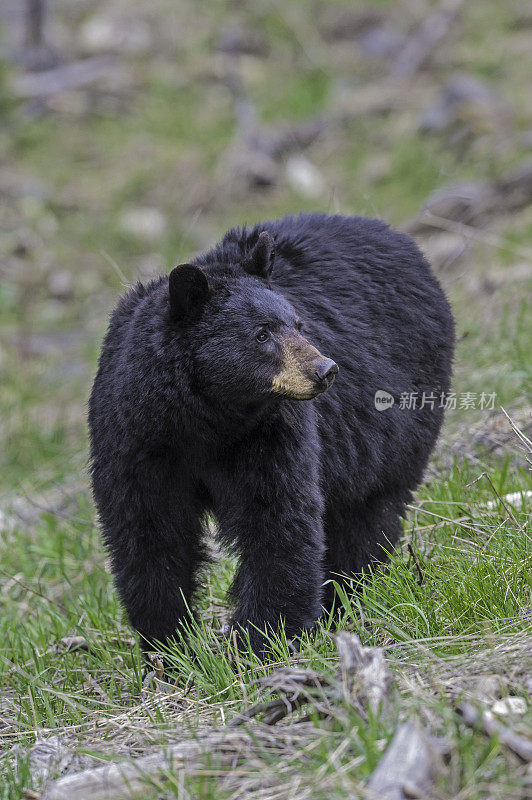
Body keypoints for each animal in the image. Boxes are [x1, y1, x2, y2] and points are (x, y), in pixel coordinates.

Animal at [89, 212, 456, 656]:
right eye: (262, 334)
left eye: (298, 324)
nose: (325, 370)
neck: (205, 422)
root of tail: (394, 235)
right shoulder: (134, 441)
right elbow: (150, 535)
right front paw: (169, 649)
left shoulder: (271, 433)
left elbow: (278, 520)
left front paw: (260, 642)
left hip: (399, 424)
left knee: (367, 514)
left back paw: (340, 602)